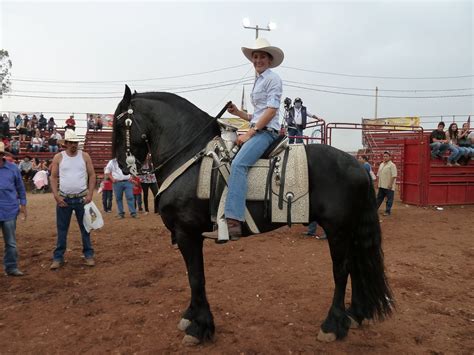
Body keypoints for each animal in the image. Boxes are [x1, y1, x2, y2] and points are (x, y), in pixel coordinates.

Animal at [111, 85, 392, 346]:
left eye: (120, 124)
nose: (123, 166)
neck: (189, 157)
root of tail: (358, 165)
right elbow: (194, 277)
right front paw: (191, 317)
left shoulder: (187, 232)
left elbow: (196, 277)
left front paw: (199, 327)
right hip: (349, 229)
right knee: (356, 265)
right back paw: (355, 314)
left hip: (338, 229)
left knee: (342, 271)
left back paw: (333, 325)